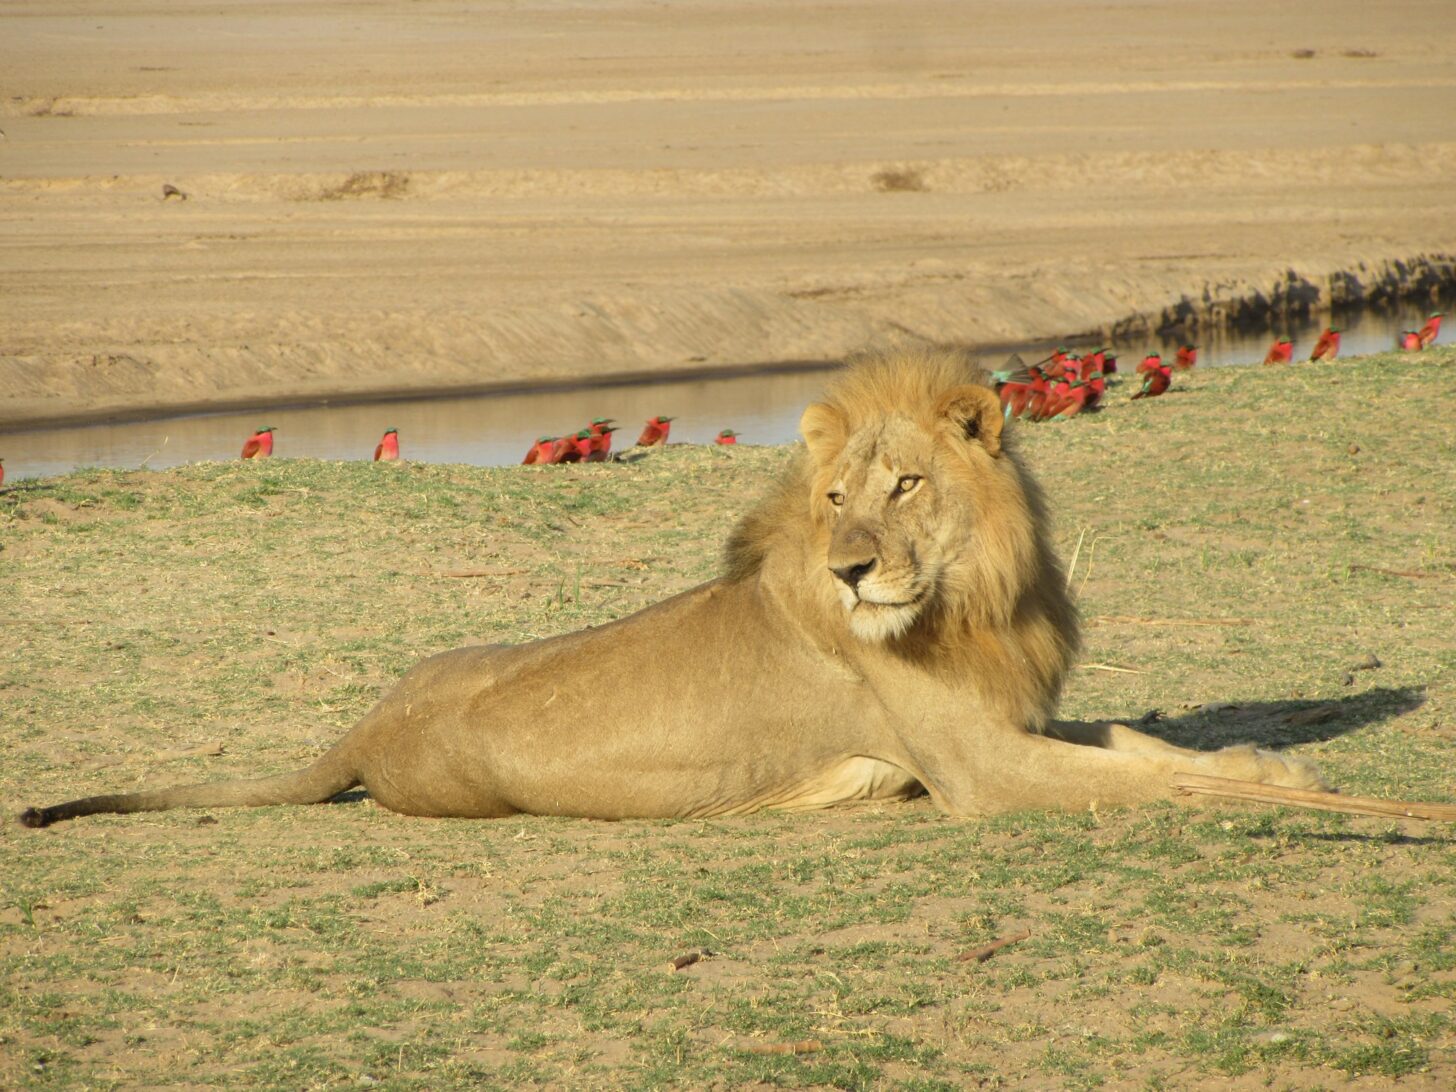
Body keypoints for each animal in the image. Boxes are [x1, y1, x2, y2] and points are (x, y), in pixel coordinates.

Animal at [19, 346, 1333, 827]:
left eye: (904, 485)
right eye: (834, 502)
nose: (852, 566)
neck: (970, 600)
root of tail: (366, 726)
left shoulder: (1009, 718)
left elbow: (1144, 745)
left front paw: (1273, 769)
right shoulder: (973, 767)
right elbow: (1137, 775)